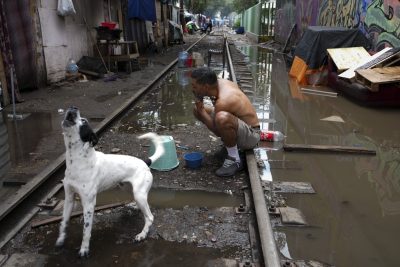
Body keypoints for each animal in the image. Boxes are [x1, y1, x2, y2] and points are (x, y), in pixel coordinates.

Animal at [55, 106, 164, 258]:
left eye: (84, 121)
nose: (73, 107)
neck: (77, 160)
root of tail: (145, 162)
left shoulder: (89, 204)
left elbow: (86, 230)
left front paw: (84, 250)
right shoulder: (69, 198)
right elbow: (63, 222)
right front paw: (60, 240)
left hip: (139, 194)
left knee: (150, 217)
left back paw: (142, 235)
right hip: (129, 189)